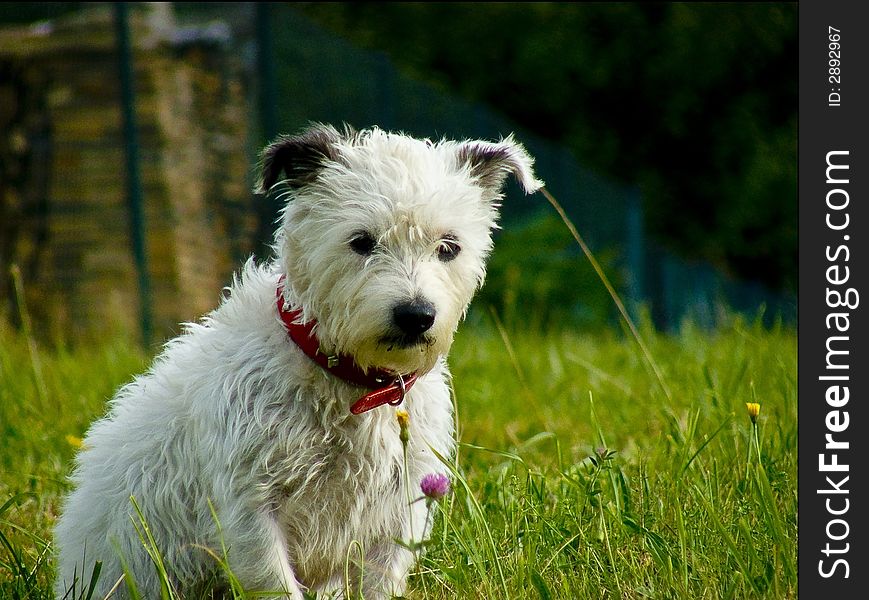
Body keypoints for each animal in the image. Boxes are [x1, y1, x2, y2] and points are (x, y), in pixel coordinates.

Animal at [50, 124, 540, 596]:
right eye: (361, 242)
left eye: (448, 246)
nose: (416, 316)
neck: (349, 384)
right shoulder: (251, 508)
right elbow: (275, 582)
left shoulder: (400, 509)